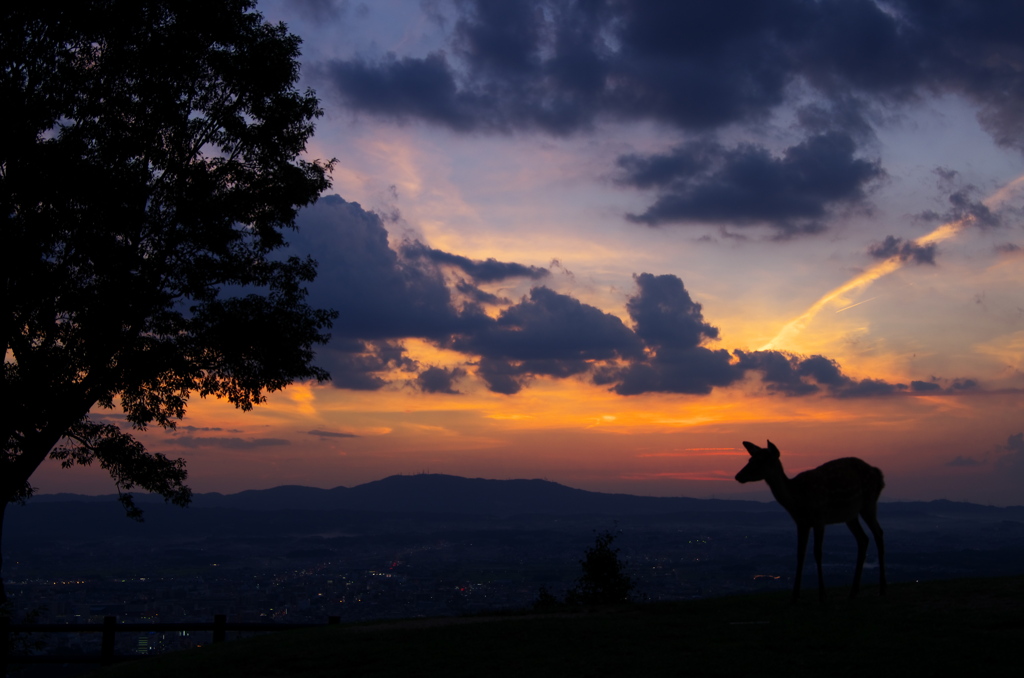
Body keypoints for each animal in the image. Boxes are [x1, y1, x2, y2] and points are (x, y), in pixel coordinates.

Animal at [733, 444, 884, 602]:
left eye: (761, 460)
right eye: (750, 459)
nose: (738, 476)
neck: (797, 500)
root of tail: (879, 474)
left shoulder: (819, 519)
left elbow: (817, 553)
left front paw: (822, 594)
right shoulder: (801, 523)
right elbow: (800, 554)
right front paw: (794, 594)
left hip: (868, 503)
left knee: (878, 533)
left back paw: (882, 588)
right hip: (850, 515)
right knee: (863, 539)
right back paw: (853, 591)